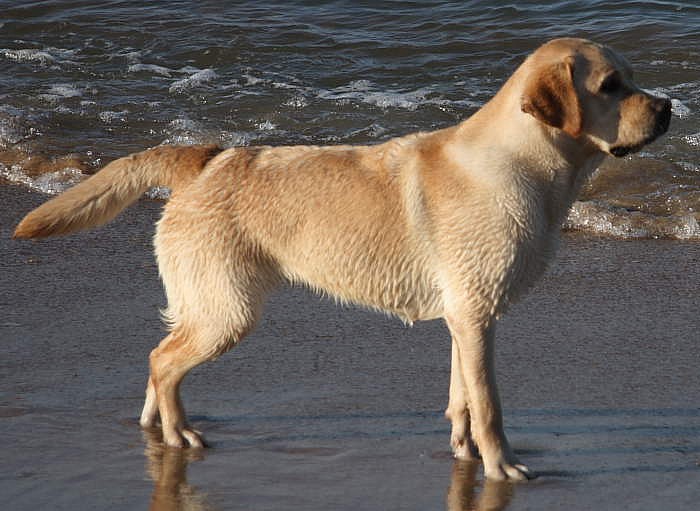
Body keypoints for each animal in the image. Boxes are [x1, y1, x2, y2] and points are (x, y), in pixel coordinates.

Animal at [15, 39, 672, 480]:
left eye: (632, 79)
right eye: (611, 85)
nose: (669, 107)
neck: (527, 166)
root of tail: (206, 157)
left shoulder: (466, 318)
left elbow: (462, 396)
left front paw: (462, 450)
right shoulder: (476, 315)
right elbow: (489, 406)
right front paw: (500, 466)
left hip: (202, 302)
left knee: (160, 357)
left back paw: (154, 427)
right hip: (228, 310)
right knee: (164, 362)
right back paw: (178, 434)